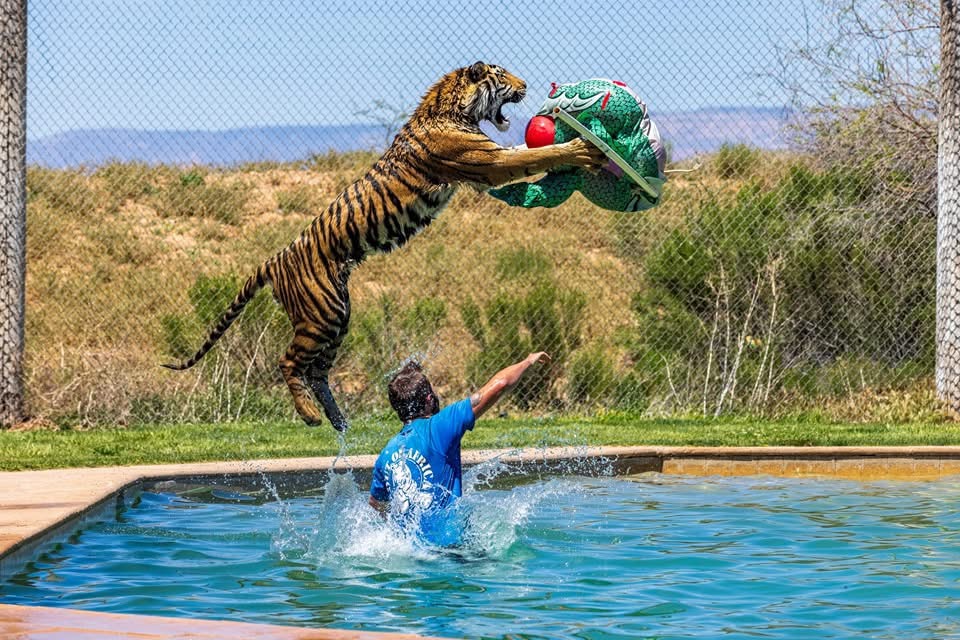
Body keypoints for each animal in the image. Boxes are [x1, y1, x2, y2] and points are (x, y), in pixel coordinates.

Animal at [162, 61, 604, 431]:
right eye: (503, 75)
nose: (526, 83)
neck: (452, 108)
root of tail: (275, 258)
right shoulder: (489, 162)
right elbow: (535, 155)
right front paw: (581, 149)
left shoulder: (486, 165)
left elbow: (529, 157)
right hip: (320, 315)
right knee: (288, 363)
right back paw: (309, 416)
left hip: (336, 315)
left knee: (317, 372)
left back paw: (339, 420)